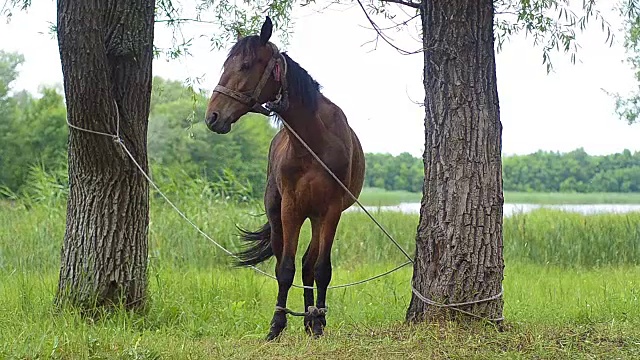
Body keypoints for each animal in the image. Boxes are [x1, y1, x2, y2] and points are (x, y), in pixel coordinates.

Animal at [205, 14, 364, 340]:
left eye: (245, 65)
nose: (212, 117)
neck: (314, 141)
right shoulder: (291, 208)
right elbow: (285, 269)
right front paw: (277, 325)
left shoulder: (330, 210)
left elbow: (321, 270)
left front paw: (319, 322)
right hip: (280, 213)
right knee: (287, 261)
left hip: (316, 216)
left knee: (309, 265)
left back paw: (312, 318)